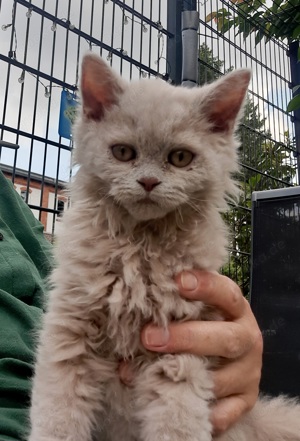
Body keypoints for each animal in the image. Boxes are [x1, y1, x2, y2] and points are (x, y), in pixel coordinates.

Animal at [29, 55, 300, 440]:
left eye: (181, 158)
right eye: (123, 152)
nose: (148, 181)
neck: (140, 248)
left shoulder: (179, 348)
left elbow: (177, 423)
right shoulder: (69, 334)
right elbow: (58, 418)